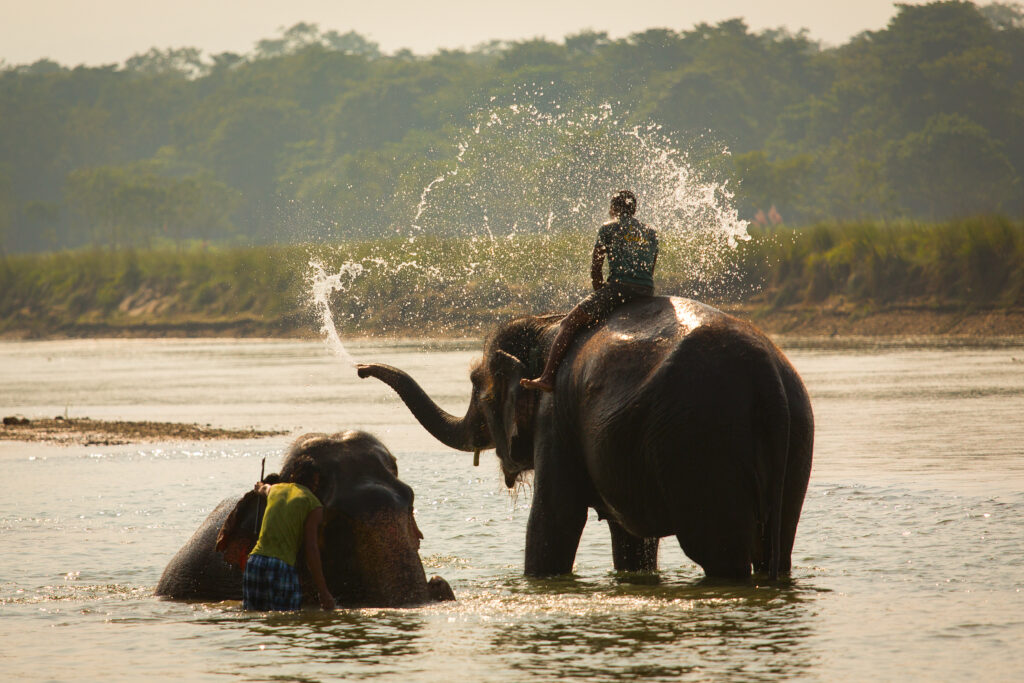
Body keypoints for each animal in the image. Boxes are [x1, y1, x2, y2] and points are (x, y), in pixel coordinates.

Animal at [360, 296, 815, 581]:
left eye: (479, 389)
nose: (362, 369)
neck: (548, 322)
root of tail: (766, 375)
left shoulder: (554, 417)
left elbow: (554, 521)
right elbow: (631, 541)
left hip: (701, 442)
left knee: (720, 554)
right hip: (795, 440)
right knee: (777, 547)